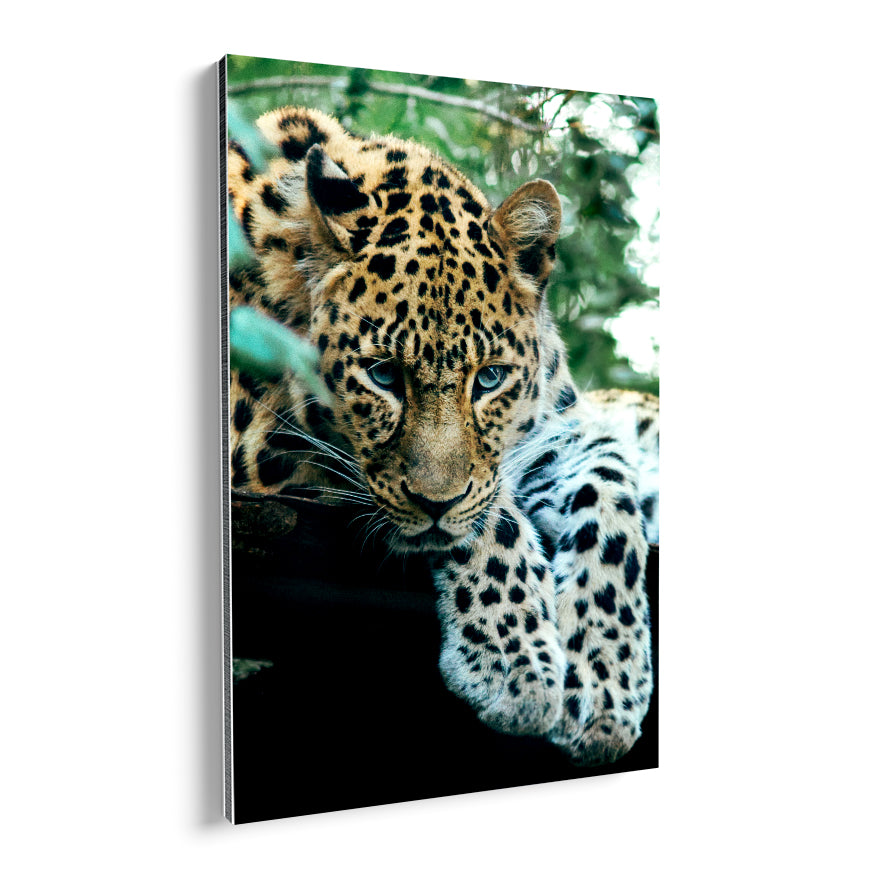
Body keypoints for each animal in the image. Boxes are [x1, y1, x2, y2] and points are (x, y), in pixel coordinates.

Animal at [227, 106, 659, 765]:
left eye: (490, 378)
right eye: (382, 374)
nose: (436, 503)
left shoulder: (553, 432)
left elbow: (609, 485)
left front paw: (606, 678)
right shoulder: (255, 443)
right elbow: (491, 515)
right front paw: (517, 665)